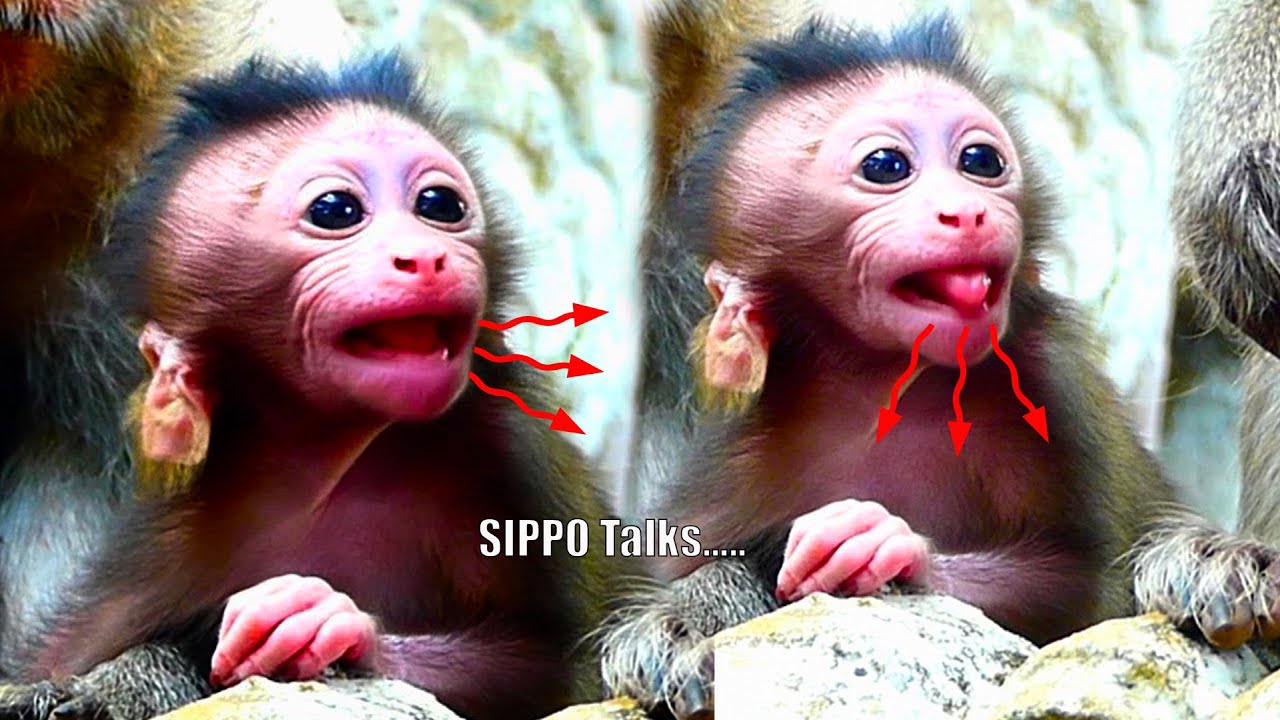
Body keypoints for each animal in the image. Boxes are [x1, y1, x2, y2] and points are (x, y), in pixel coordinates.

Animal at [0, 52, 633, 720]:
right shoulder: (170, 542)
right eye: (336, 210)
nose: (425, 256)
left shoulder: (509, 457)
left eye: (439, 205)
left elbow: (556, 673)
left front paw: (326, 625)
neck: (331, 460)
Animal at [602, 7, 1178, 718]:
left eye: (980, 161)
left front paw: (882, 547)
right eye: (885, 165)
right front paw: (686, 619)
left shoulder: (1052, 388)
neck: (882, 384)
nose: (968, 210)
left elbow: (1082, 597)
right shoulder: (741, 458)